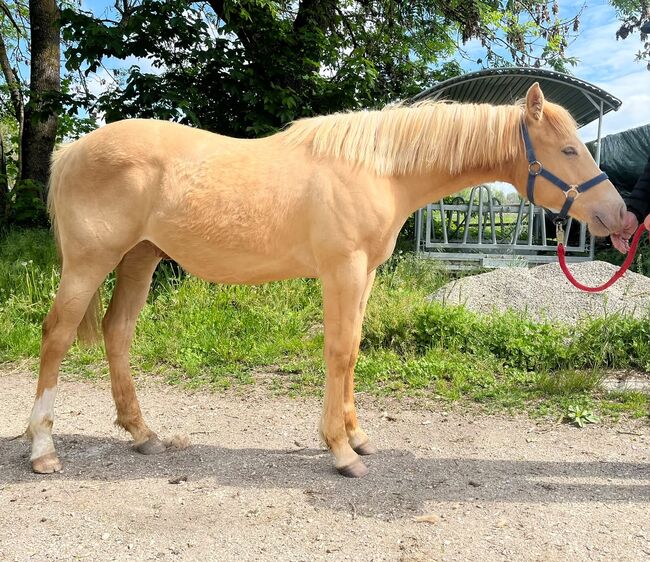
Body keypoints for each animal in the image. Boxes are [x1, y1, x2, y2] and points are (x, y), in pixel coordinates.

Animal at [26, 83, 626, 478]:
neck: (379, 170)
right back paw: (42, 449)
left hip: (139, 259)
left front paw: (356, 437)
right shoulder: (343, 269)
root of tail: (71, 150)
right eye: (569, 149)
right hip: (90, 262)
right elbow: (339, 350)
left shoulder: (364, 275)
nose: (618, 217)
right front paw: (339, 450)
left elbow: (353, 348)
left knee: (117, 333)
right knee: (57, 334)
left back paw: (143, 434)